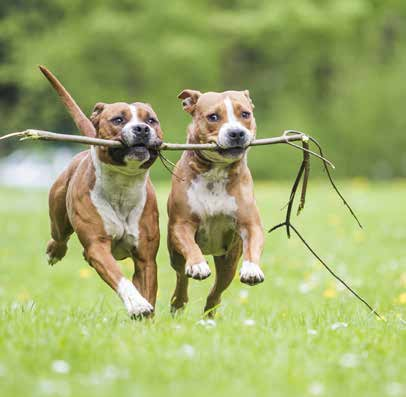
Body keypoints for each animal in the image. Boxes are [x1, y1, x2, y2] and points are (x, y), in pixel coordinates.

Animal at [40, 66, 162, 318]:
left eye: (151, 120)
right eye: (118, 120)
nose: (142, 129)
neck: (123, 186)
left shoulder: (145, 257)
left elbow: (147, 287)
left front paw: (146, 315)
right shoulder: (98, 246)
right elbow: (121, 279)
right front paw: (137, 304)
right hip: (58, 216)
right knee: (59, 237)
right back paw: (54, 251)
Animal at [167, 88, 264, 314]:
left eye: (245, 114)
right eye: (213, 117)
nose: (236, 133)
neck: (215, 171)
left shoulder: (250, 223)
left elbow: (254, 243)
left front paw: (252, 269)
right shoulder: (181, 224)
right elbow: (189, 246)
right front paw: (197, 265)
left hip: (229, 261)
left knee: (216, 291)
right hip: (175, 255)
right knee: (181, 277)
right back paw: (178, 302)